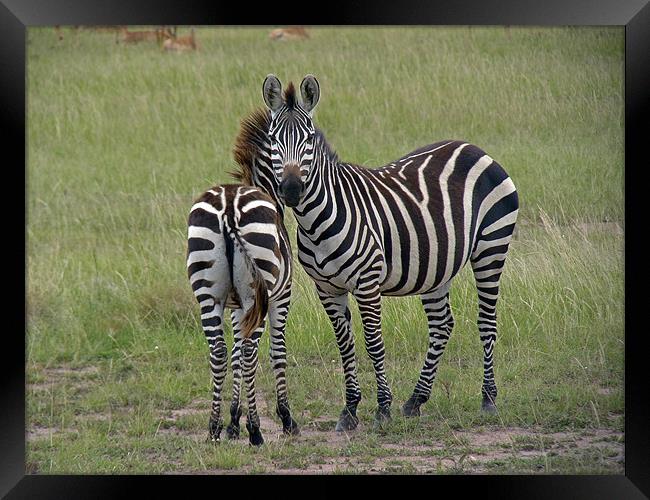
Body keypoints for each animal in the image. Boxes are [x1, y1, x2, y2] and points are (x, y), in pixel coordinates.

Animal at [185, 183, 298, 446]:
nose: (294, 195)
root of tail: (228, 205)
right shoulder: (280, 297)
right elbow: (277, 353)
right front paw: (286, 418)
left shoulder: (238, 307)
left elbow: (235, 354)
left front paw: (233, 422)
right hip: (258, 290)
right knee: (249, 351)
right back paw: (256, 431)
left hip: (209, 294)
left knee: (218, 351)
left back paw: (213, 429)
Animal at [243, 73, 516, 430]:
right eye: (274, 140)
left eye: (309, 139)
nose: (290, 190)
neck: (316, 219)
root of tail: (472, 147)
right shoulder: (327, 289)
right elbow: (345, 346)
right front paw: (350, 409)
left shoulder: (367, 283)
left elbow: (373, 343)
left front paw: (382, 407)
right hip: (436, 264)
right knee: (442, 324)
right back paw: (416, 399)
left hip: (491, 247)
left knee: (487, 321)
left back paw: (488, 398)